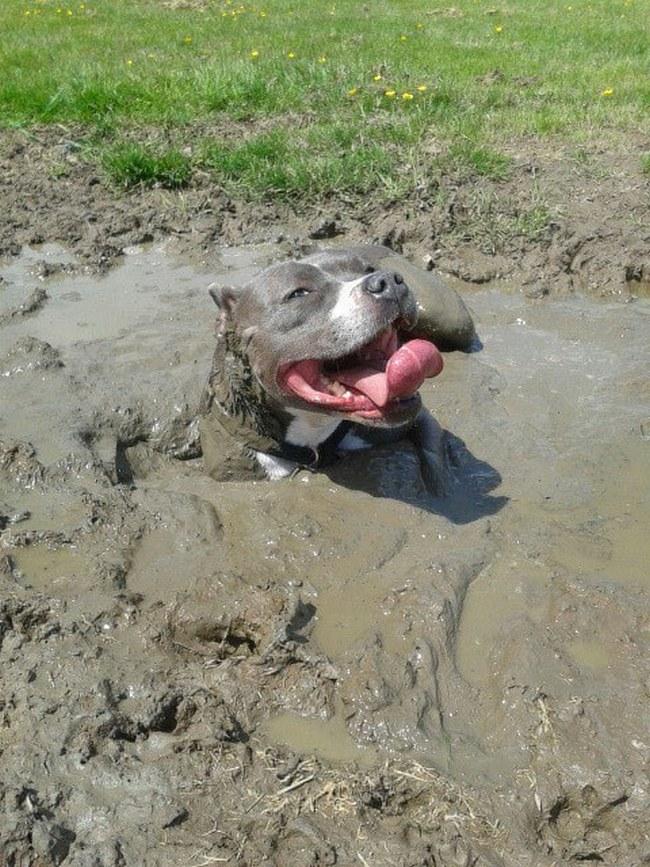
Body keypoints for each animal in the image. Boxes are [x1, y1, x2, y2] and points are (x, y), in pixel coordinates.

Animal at [200, 246, 474, 482]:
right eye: (299, 293)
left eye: (368, 269)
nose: (387, 280)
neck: (315, 433)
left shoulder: (419, 419)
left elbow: (434, 462)